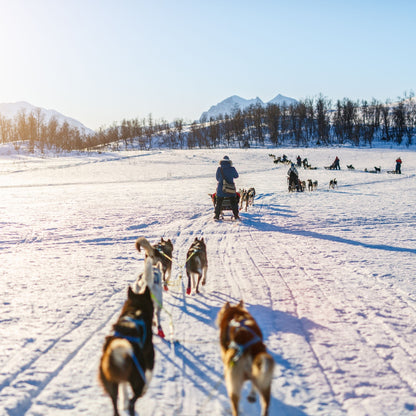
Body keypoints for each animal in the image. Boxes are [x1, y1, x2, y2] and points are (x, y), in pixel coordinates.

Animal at [99, 255, 156, 414]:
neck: (135, 308)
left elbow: (123, 388)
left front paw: (123, 401)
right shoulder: (149, 354)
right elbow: (149, 374)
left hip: (111, 384)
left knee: (116, 404)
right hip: (137, 380)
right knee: (134, 398)